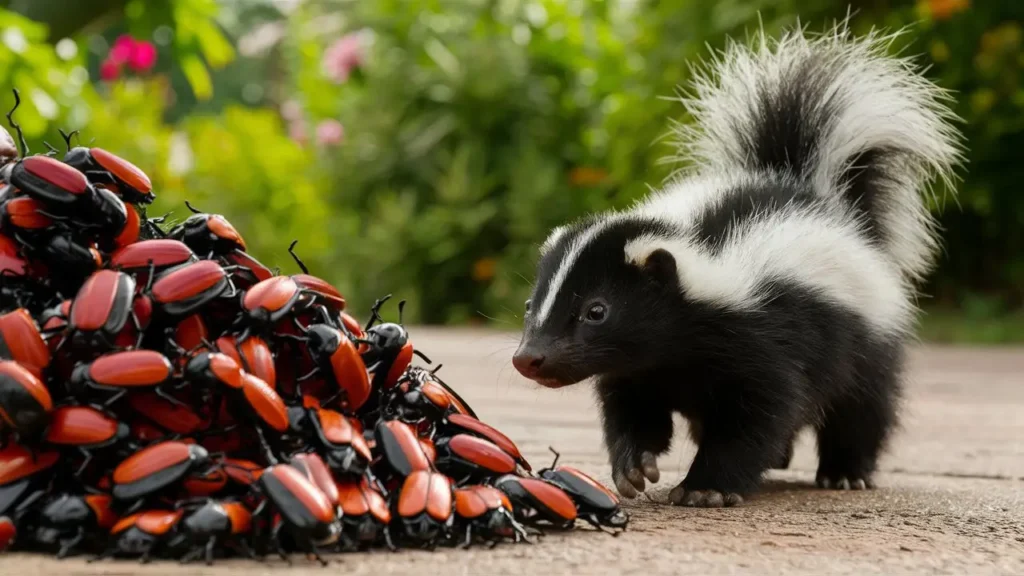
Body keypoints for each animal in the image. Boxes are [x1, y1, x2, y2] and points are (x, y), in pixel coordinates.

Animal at [516, 24, 962, 504]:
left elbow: (759, 416)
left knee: (862, 407)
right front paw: (635, 466)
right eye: (530, 306)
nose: (529, 358)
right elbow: (633, 409)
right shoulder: (637, 366)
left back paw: (845, 471)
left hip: (868, 337)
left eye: (596, 311)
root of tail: (815, 192)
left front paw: (706, 487)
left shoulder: (766, 336)